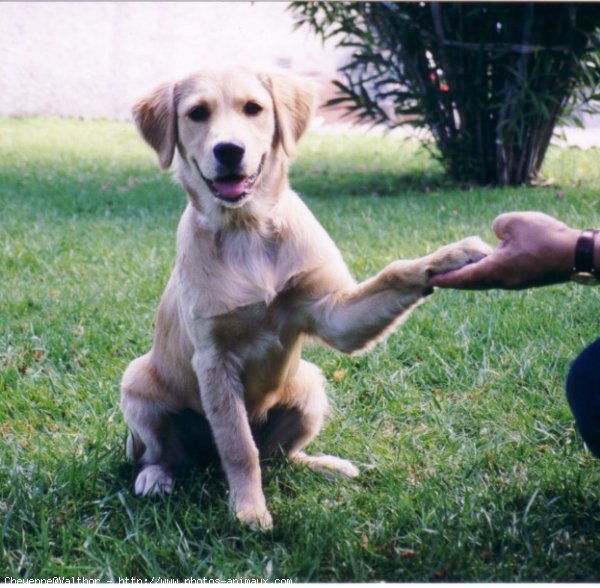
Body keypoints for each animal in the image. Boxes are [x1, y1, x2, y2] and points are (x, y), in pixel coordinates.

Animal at [122, 66, 492, 532]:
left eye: (253, 108)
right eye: (197, 113)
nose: (229, 150)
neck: (248, 229)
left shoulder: (332, 313)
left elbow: (394, 272)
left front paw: (450, 256)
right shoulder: (213, 359)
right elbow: (239, 449)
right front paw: (249, 510)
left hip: (310, 388)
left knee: (279, 456)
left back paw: (323, 465)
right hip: (136, 383)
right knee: (170, 454)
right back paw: (156, 477)